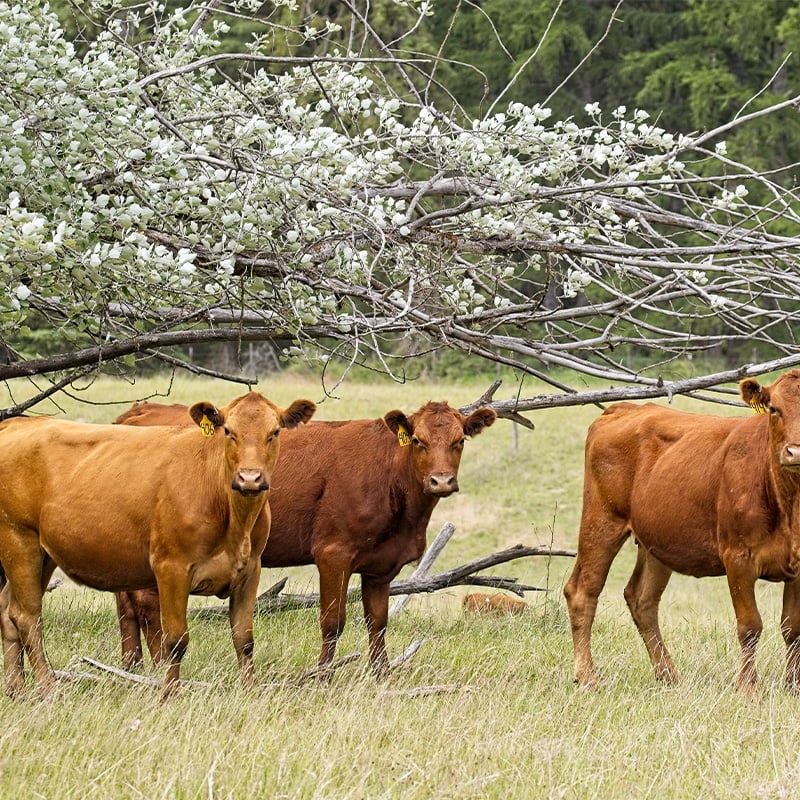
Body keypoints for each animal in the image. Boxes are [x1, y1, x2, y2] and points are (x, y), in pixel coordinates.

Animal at [0, 391, 316, 700]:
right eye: (228, 431)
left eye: (274, 432)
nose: (249, 477)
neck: (234, 519)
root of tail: (15, 424)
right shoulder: (171, 569)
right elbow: (175, 640)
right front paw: (169, 696)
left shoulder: (250, 570)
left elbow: (244, 639)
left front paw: (250, 692)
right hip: (19, 541)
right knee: (27, 617)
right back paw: (48, 690)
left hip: (43, 554)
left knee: (7, 609)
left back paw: (17, 690)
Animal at [114, 400, 497, 676]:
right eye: (417, 440)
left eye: (459, 441)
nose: (441, 481)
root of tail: (139, 411)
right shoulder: (332, 553)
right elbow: (332, 622)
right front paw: (323, 676)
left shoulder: (381, 566)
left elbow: (378, 622)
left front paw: (380, 675)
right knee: (146, 605)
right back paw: (155, 666)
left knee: (127, 604)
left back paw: (133, 665)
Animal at [563, 370, 800, 695]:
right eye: (774, 409)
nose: (795, 452)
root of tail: (626, 408)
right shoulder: (737, 558)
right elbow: (750, 626)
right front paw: (748, 689)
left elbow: (793, 627)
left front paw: (793, 687)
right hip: (601, 522)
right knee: (583, 591)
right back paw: (588, 676)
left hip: (656, 542)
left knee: (641, 599)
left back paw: (668, 675)